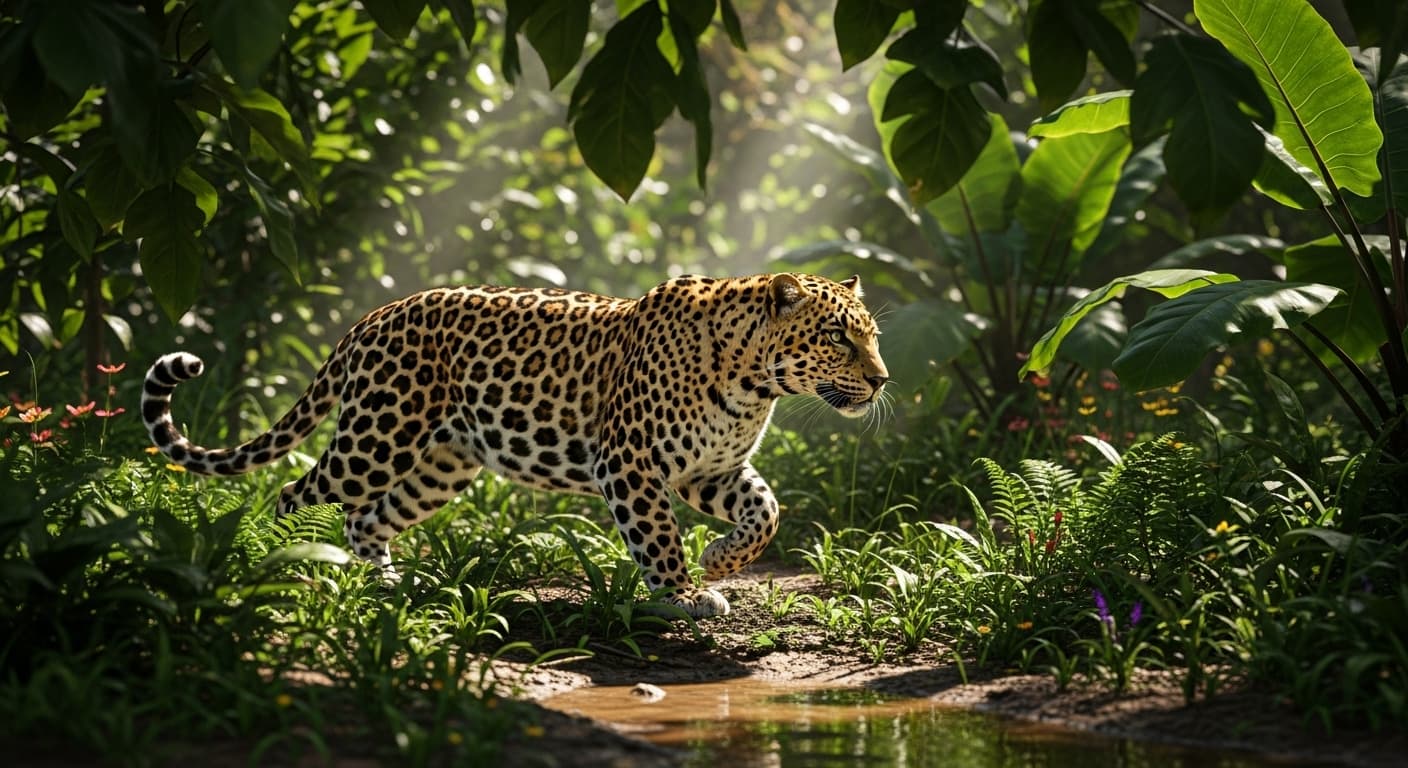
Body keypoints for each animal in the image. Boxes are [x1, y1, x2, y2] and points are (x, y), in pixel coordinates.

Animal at [142, 272, 889, 618]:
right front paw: (680, 594)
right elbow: (657, 536)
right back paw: (280, 570)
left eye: (873, 335)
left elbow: (766, 513)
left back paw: (383, 582)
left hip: (441, 463)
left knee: (367, 518)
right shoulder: (632, 463)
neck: (755, 379)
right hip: (377, 437)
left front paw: (721, 561)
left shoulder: (712, 469)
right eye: (836, 336)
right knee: (295, 494)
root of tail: (373, 315)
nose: (883, 379)